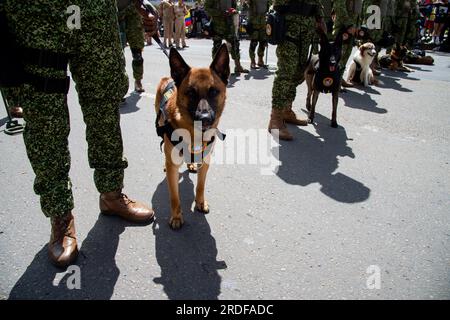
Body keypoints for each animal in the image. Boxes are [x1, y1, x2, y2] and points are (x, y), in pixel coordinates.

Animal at [156, 44, 232, 230]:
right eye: (190, 92)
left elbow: (200, 186)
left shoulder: (205, 162)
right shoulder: (173, 167)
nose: (204, 118)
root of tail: (169, 78)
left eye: (214, 91)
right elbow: (174, 197)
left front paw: (200, 202)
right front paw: (176, 216)